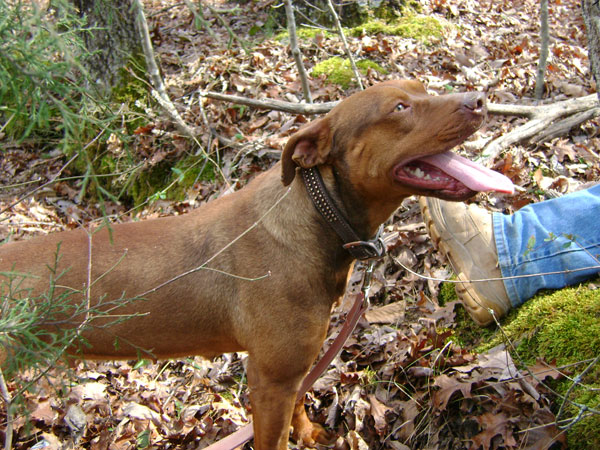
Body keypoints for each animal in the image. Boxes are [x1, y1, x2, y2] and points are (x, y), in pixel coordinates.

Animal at [2, 80, 512, 446]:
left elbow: (300, 406)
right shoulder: (270, 380)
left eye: (423, 88)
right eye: (400, 108)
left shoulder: (291, 372)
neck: (319, 213)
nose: (480, 99)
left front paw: (309, 434)